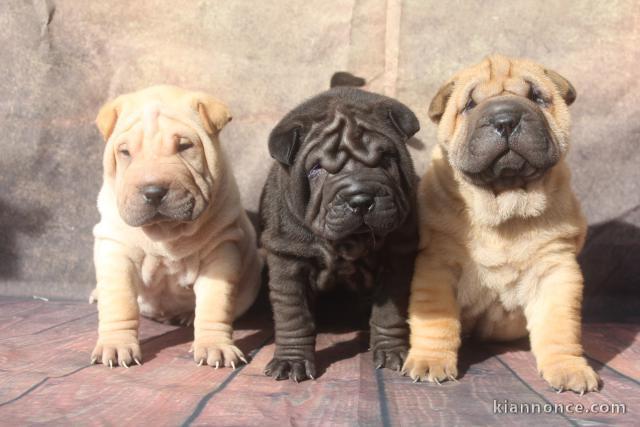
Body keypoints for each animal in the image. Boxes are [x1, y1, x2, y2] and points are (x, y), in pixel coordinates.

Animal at [89, 85, 260, 370]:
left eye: (184, 146)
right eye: (125, 152)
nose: (153, 191)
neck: (165, 232)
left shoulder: (220, 251)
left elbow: (214, 304)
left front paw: (215, 346)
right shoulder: (116, 248)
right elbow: (119, 302)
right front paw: (115, 345)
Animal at [260, 72, 420, 382]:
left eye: (385, 159)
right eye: (317, 169)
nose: (360, 199)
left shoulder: (397, 255)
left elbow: (390, 312)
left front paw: (392, 353)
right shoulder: (288, 256)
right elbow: (293, 315)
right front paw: (291, 362)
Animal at [404, 55, 600, 396]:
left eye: (536, 96)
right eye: (470, 104)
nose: (506, 120)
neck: (505, 206)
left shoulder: (555, 268)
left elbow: (560, 327)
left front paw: (569, 368)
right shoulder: (439, 265)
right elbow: (436, 321)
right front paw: (430, 361)